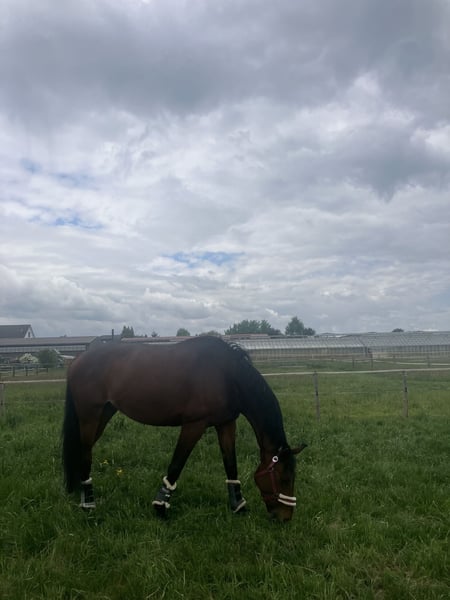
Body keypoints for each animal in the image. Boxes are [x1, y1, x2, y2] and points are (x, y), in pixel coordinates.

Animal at [62, 336, 307, 521]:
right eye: (284, 478)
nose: (285, 517)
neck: (226, 375)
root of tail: (78, 358)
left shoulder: (226, 423)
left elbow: (231, 464)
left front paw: (238, 505)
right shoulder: (194, 425)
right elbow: (177, 464)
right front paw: (160, 506)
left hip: (104, 413)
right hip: (90, 415)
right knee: (85, 454)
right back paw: (89, 503)